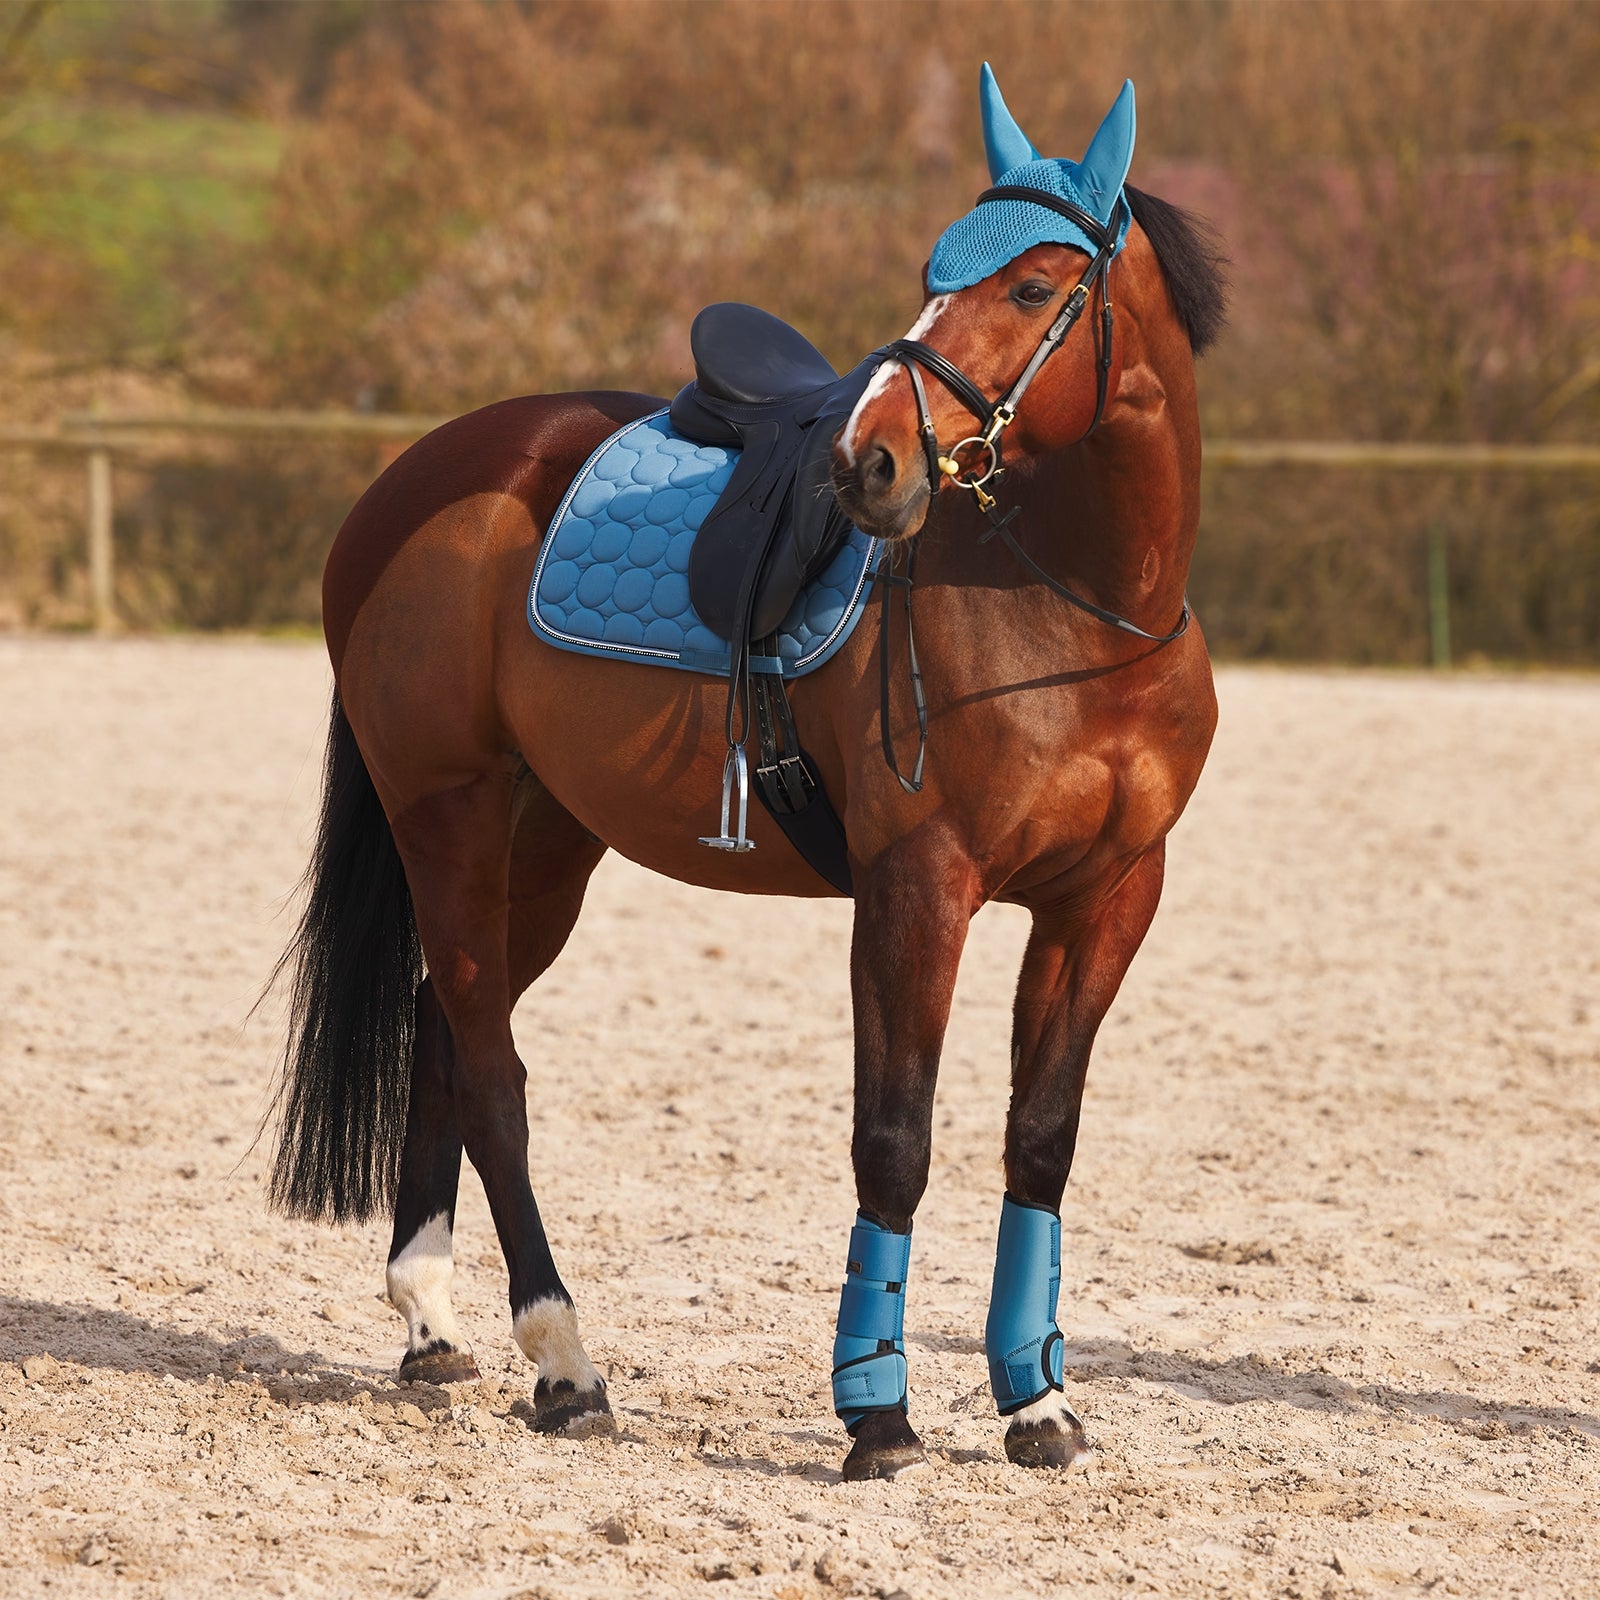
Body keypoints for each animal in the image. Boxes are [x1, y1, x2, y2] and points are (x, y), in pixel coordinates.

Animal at [267, 66, 1227, 1482]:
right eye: (936, 269)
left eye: (1033, 289)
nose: (867, 464)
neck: (1078, 608)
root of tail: (415, 480)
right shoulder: (916, 888)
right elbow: (894, 1139)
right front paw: (877, 1412)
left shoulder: (1109, 897)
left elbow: (1039, 1140)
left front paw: (1036, 1399)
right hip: (447, 813)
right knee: (494, 1071)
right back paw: (564, 1360)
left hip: (541, 844)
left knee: (449, 1027)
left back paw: (431, 1325)